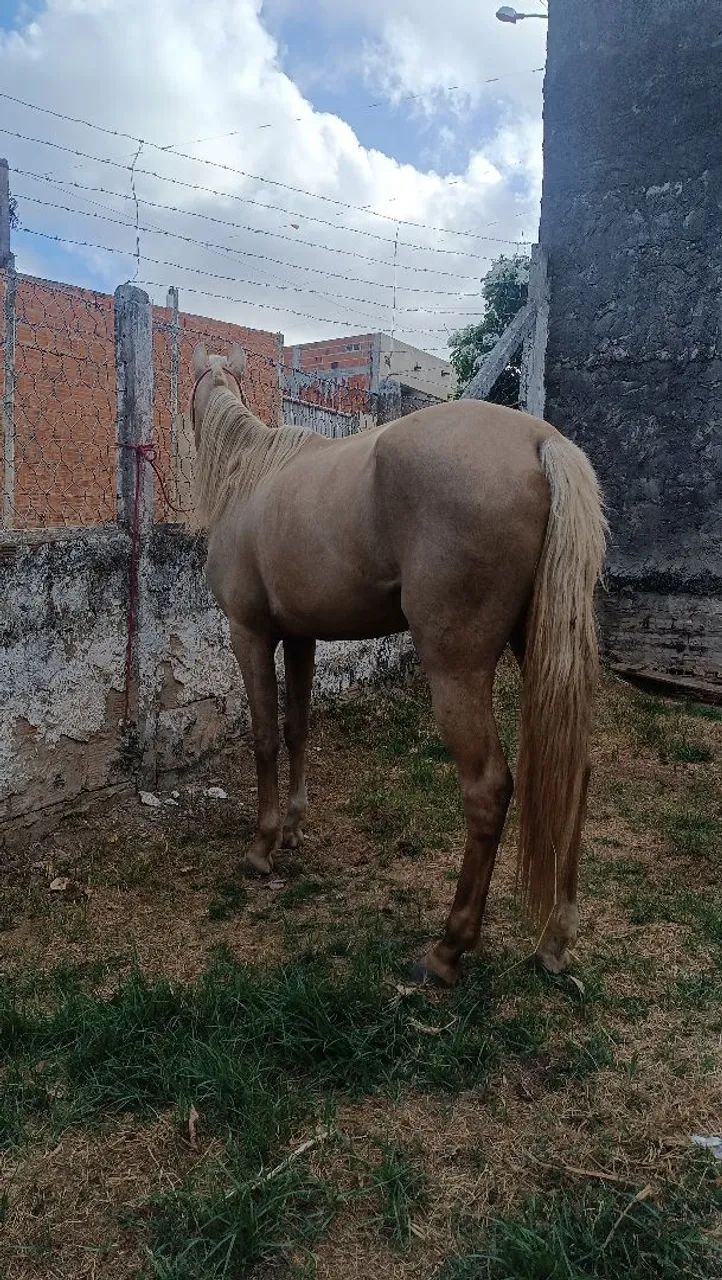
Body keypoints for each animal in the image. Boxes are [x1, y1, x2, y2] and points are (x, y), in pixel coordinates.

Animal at [188, 343, 607, 986]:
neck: (249, 474)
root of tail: (543, 441)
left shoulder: (250, 635)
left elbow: (262, 737)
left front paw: (261, 847)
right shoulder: (301, 638)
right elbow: (296, 727)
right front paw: (295, 827)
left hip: (456, 671)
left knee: (488, 788)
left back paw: (448, 950)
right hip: (540, 651)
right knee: (574, 773)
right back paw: (555, 940)